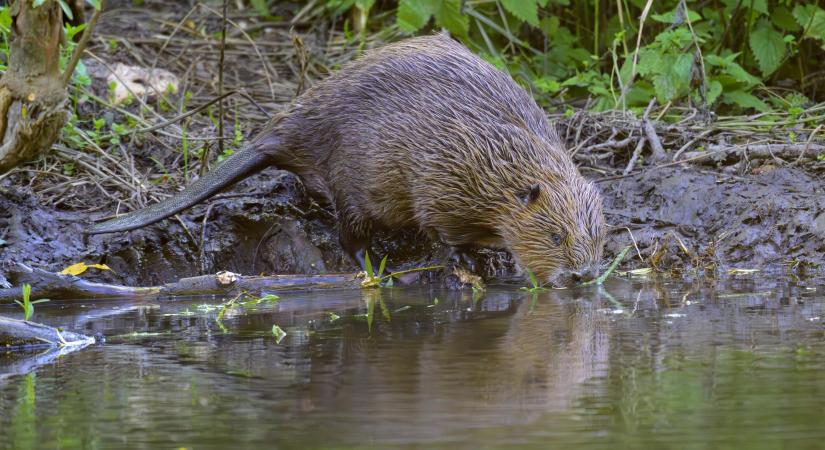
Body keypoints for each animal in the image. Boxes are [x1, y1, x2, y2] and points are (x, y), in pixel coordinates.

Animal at [91, 33, 604, 284]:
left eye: (598, 236)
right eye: (556, 236)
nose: (582, 276)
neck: (500, 154)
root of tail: (274, 136)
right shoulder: (442, 174)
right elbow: (440, 227)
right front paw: (474, 258)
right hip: (354, 183)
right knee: (349, 234)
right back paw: (376, 268)